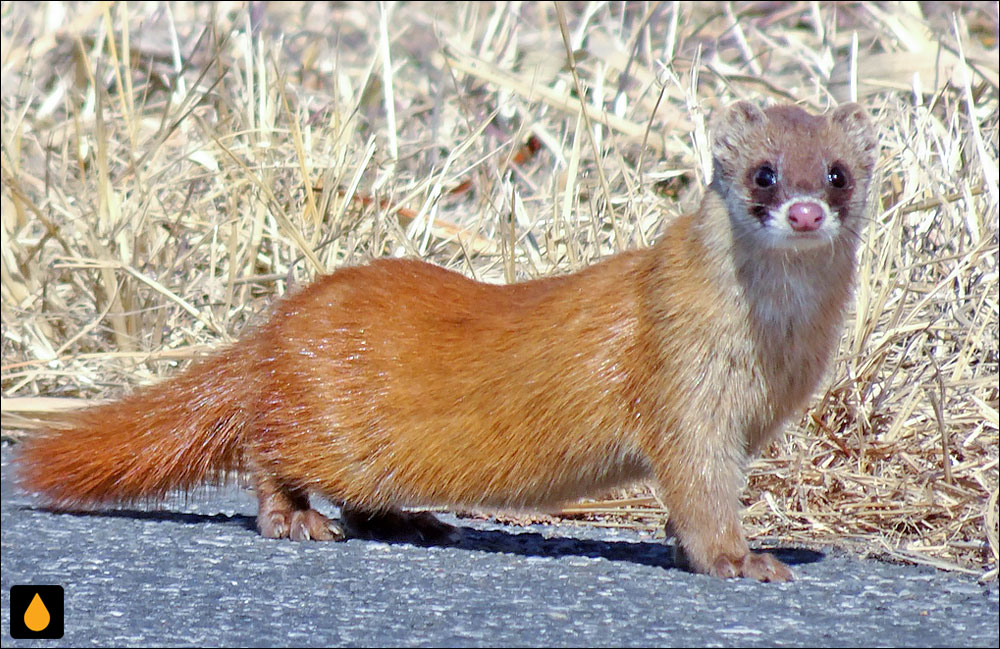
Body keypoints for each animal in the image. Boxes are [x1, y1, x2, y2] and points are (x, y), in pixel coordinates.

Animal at [15, 102, 876, 584]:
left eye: (837, 173)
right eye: (764, 172)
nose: (805, 210)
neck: (772, 355)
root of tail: (281, 321)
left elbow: (701, 494)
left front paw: (682, 544)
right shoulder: (682, 386)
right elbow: (698, 485)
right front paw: (741, 561)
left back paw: (415, 521)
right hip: (314, 416)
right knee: (265, 449)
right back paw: (298, 519)